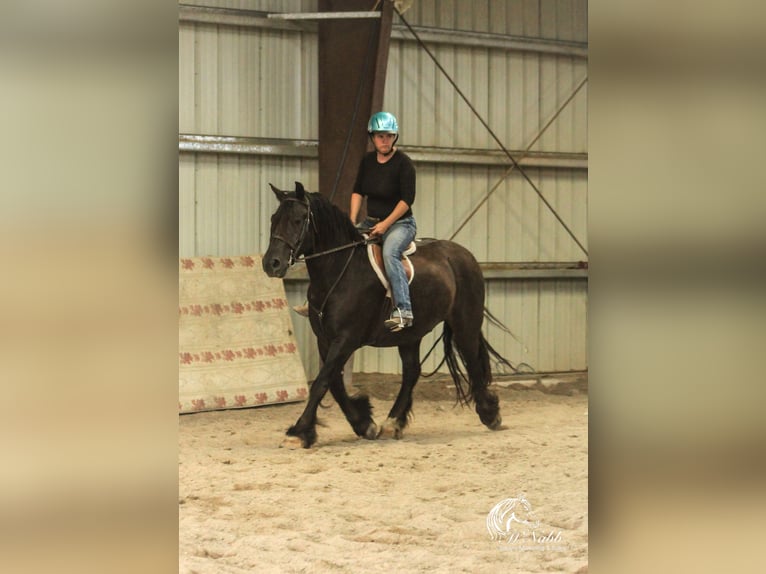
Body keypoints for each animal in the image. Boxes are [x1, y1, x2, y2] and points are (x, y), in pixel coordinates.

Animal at [264, 182, 510, 448]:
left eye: (298, 220)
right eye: (273, 219)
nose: (271, 263)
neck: (341, 270)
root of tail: (464, 255)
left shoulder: (346, 339)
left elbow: (321, 383)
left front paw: (299, 431)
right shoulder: (325, 339)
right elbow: (334, 384)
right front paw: (364, 423)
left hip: (465, 324)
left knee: (472, 362)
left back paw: (490, 415)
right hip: (410, 334)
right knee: (412, 372)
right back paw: (394, 422)